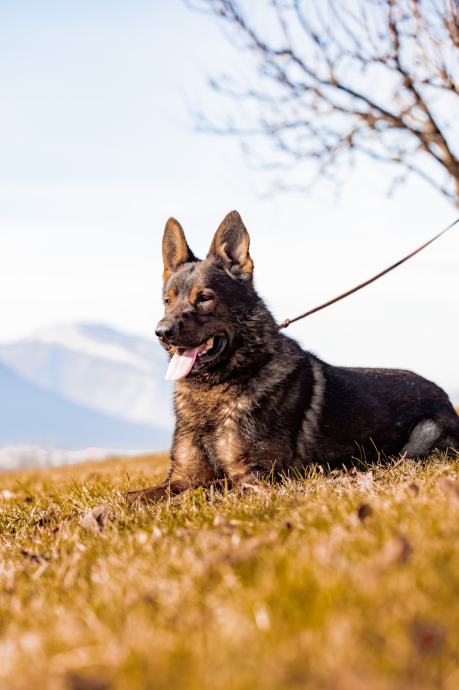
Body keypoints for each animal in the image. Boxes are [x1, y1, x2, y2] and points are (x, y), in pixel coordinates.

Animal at [127, 211, 459, 502]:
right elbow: (132, 496)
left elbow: (197, 491)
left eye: (205, 298)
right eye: (167, 301)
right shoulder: (182, 476)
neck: (214, 392)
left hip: (421, 436)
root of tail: (444, 395)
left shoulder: (256, 476)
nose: (162, 332)